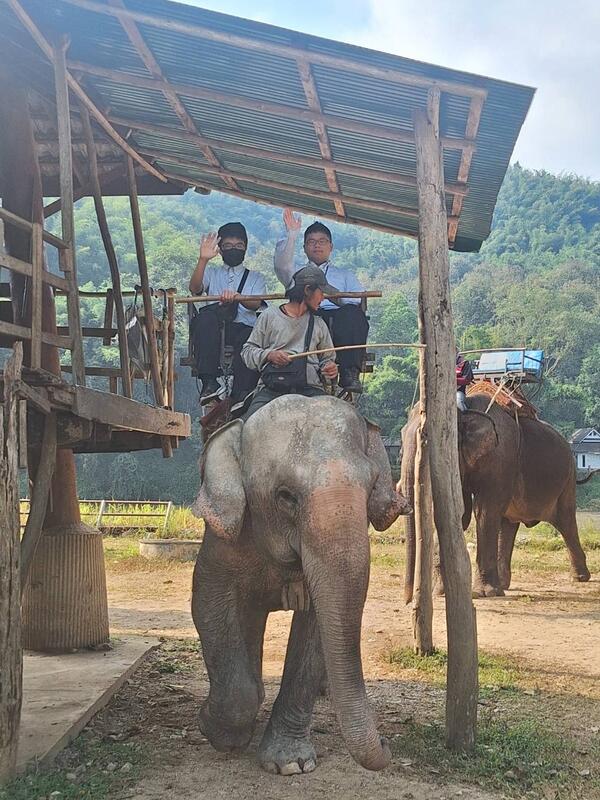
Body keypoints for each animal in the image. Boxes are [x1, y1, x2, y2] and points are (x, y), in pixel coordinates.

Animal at [192, 394, 410, 775]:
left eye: (370, 488)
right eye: (285, 496)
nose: (386, 742)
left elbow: (317, 629)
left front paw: (291, 765)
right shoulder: (223, 539)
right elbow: (209, 604)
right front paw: (216, 732)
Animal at [401, 390, 590, 600]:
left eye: (426, 439)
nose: (408, 599)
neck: (465, 409)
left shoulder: (500, 456)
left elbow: (484, 511)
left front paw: (484, 593)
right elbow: (458, 514)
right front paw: (441, 593)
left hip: (568, 477)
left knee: (565, 520)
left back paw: (580, 577)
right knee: (509, 523)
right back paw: (504, 585)